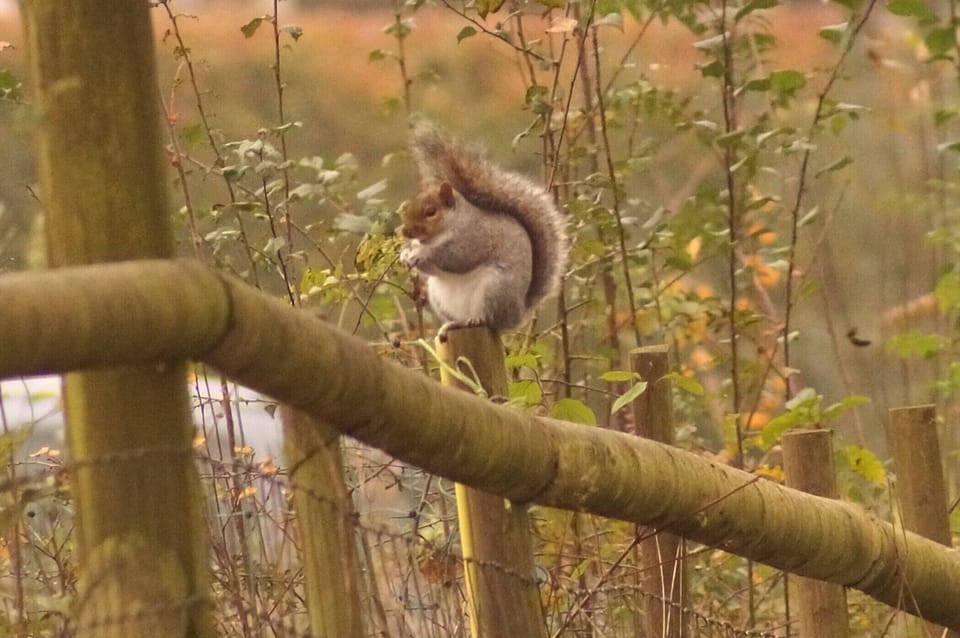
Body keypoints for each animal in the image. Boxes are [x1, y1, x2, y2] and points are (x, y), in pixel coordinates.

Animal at [400, 122, 568, 339]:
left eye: (431, 212)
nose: (406, 232)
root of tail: (516, 314)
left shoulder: (475, 237)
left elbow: (456, 257)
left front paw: (421, 252)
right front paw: (405, 253)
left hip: (494, 289)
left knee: (490, 319)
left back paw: (476, 320)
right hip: (438, 295)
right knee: (458, 319)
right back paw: (451, 325)